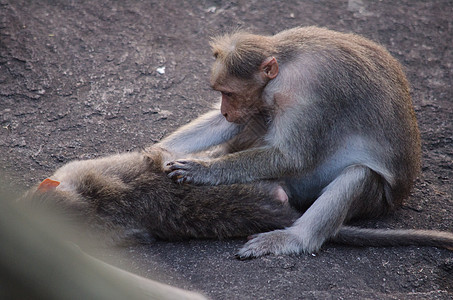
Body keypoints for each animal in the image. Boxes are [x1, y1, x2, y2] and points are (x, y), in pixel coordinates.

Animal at [156, 26, 452, 258]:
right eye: (220, 93)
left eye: (228, 93)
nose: (225, 110)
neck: (285, 68)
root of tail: (400, 197)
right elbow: (230, 125)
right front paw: (157, 150)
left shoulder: (310, 93)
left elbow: (292, 158)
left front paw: (202, 170)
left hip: (370, 200)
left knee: (358, 175)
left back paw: (294, 238)